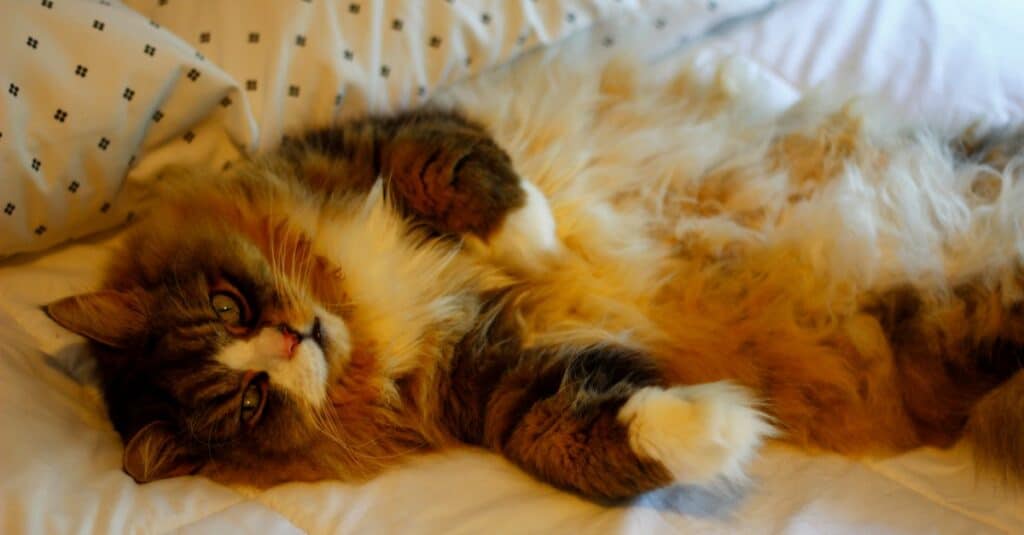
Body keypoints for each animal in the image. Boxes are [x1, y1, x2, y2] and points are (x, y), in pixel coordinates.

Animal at [44, 55, 1024, 500]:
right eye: (248, 401)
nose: (292, 337)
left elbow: (461, 172)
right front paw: (727, 427)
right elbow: (576, 431)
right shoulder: (494, 376)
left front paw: (535, 236)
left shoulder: (379, 141)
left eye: (229, 302)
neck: (361, 308)